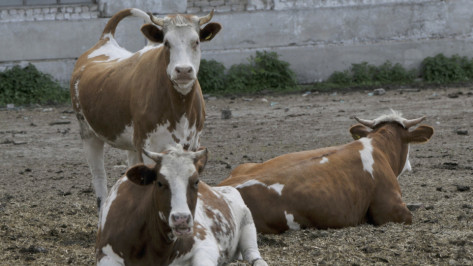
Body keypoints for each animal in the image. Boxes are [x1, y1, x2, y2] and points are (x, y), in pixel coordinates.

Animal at [68, 7, 221, 209]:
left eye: (196, 41)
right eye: (166, 42)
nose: (183, 70)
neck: (179, 107)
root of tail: (105, 40)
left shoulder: (193, 144)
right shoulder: (148, 146)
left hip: (131, 144)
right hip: (88, 134)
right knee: (99, 179)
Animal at [96, 145, 268, 266]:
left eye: (196, 181)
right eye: (159, 182)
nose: (181, 219)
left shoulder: (205, 245)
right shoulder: (105, 254)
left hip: (248, 222)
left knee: (252, 254)